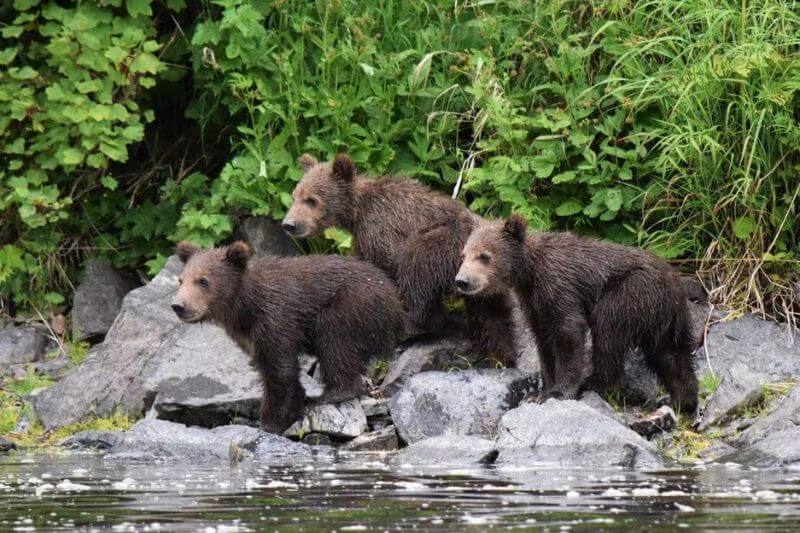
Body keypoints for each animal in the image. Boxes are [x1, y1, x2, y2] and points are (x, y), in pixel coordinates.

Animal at [171, 241, 404, 432]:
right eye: (181, 280)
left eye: (203, 280)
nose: (178, 306)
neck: (245, 308)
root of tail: (393, 296)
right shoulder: (250, 337)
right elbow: (268, 368)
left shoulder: (276, 319)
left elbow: (280, 371)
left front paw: (271, 422)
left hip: (350, 307)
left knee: (335, 343)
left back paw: (330, 394)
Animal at [280, 152, 520, 364]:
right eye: (294, 196)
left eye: (312, 200)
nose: (289, 224)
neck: (356, 214)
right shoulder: (362, 238)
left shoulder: (381, 230)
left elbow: (382, 269)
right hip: (481, 277)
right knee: (493, 312)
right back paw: (501, 353)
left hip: (446, 246)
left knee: (417, 269)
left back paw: (410, 326)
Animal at [456, 214, 700, 414]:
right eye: (464, 255)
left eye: (484, 256)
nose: (462, 281)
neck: (528, 273)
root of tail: (675, 282)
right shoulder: (535, 303)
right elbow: (544, 340)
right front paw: (541, 390)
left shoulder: (558, 286)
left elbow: (568, 332)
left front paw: (560, 391)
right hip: (664, 317)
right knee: (672, 355)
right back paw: (684, 400)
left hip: (631, 292)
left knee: (608, 330)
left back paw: (595, 381)